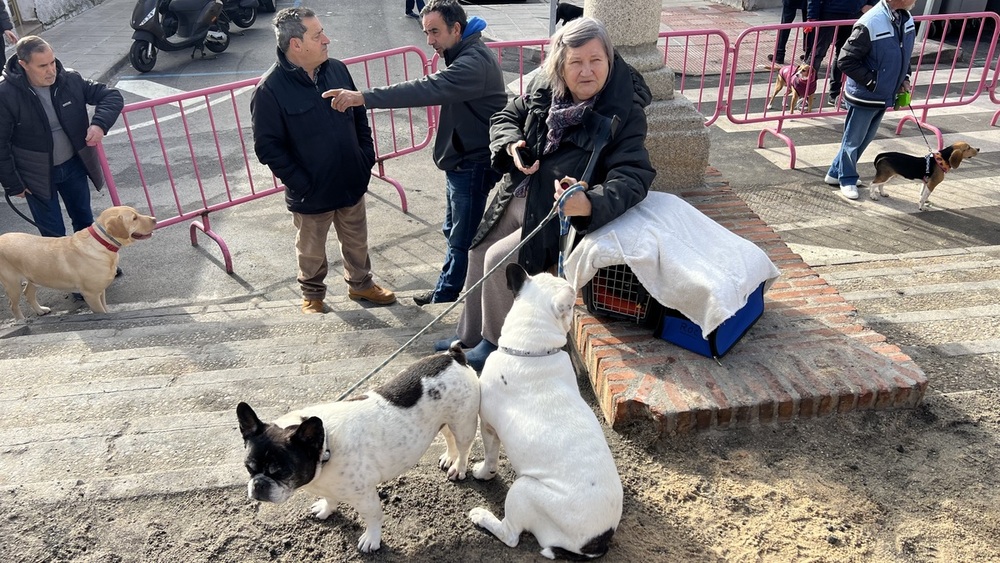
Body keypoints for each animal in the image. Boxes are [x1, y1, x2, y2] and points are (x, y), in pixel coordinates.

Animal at [0, 207, 156, 322]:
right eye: (134, 218)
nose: (154, 219)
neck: (102, 242)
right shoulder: (91, 295)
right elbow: (100, 312)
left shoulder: (100, 290)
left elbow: (105, 309)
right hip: (12, 284)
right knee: (13, 305)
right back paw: (21, 321)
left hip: (35, 277)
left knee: (28, 293)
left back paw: (40, 310)